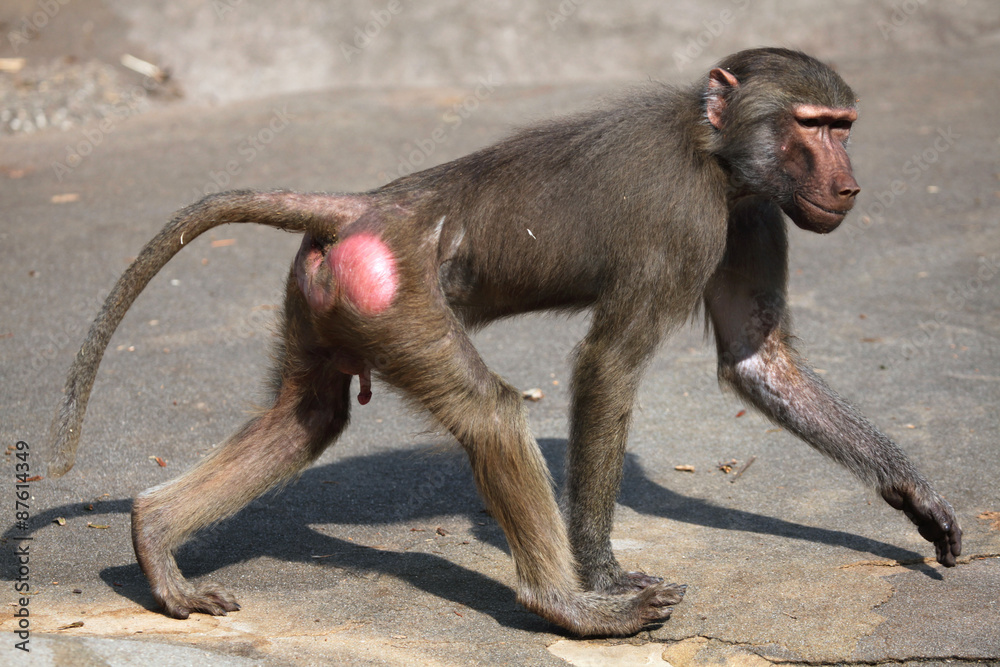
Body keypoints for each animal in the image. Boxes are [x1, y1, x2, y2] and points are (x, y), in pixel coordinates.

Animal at [48, 48, 962, 637]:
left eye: (844, 125)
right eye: (812, 125)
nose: (849, 184)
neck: (716, 153)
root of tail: (367, 205)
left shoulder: (755, 211)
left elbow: (754, 357)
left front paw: (916, 498)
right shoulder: (687, 218)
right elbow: (609, 366)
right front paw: (603, 575)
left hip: (328, 293)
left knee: (306, 417)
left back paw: (154, 532)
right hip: (400, 296)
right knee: (488, 412)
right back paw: (566, 608)